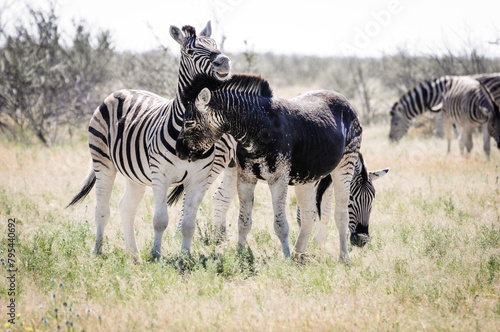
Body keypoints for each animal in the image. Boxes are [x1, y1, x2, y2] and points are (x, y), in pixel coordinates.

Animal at [66, 22, 234, 262]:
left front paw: (185, 258)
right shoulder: (161, 175)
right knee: (102, 209)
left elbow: (188, 224)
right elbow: (160, 220)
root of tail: (121, 91)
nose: (223, 61)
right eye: (190, 51)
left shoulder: (199, 178)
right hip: (103, 162)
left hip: (134, 175)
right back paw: (98, 251)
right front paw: (155, 255)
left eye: (215, 44)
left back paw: (134, 255)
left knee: (126, 208)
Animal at [176, 74, 364, 264]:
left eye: (189, 123)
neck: (257, 130)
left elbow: (280, 224)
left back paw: (343, 257)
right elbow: (243, 221)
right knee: (308, 214)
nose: (178, 151)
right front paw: (240, 255)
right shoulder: (245, 178)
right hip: (306, 176)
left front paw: (286, 258)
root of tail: (343, 98)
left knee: (341, 214)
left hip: (345, 165)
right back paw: (298, 254)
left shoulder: (278, 179)